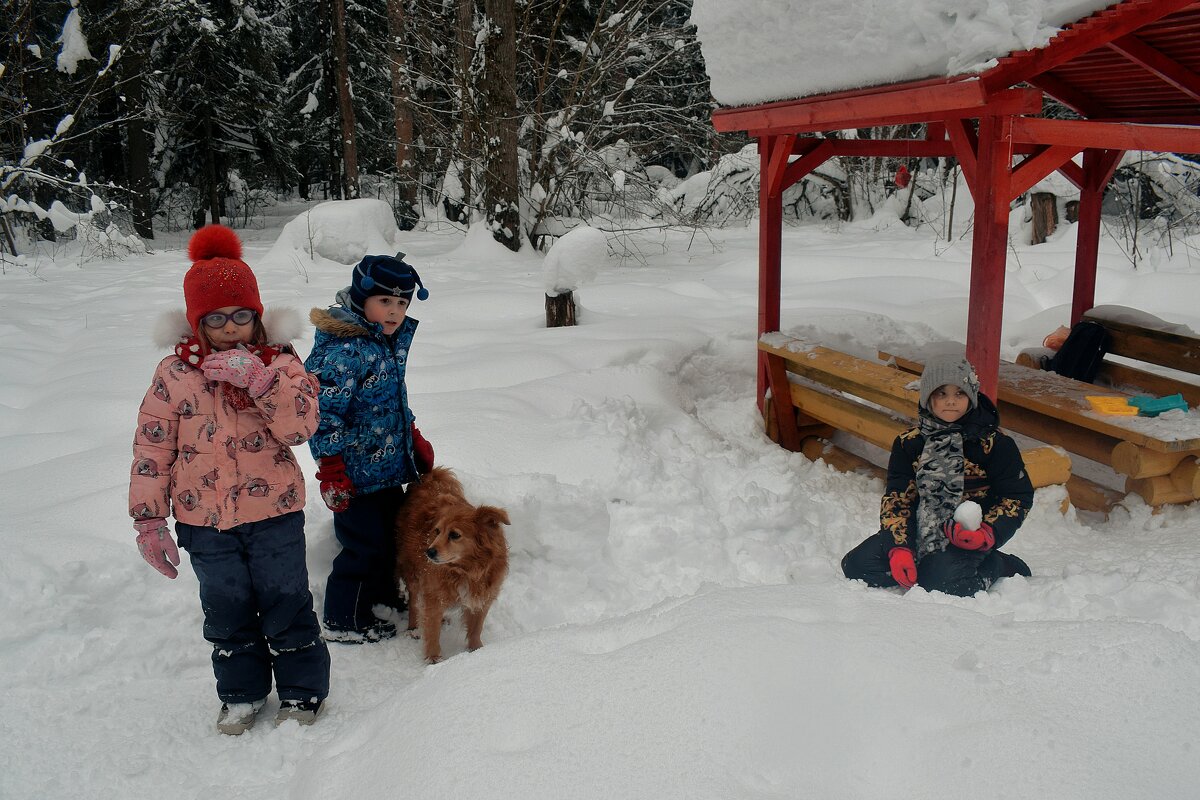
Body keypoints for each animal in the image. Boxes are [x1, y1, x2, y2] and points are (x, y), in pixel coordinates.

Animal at [393, 470, 506, 662]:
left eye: (454, 535)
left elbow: (476, 628)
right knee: (414, 601)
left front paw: (477, 650)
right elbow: (432, 631)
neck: (465, 569)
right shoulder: (433, 595)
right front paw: (434, 659)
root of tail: (429, 478)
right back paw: (413, 628)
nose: (428, 552)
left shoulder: (482, 596)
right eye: (437, 531)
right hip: (412, 571)